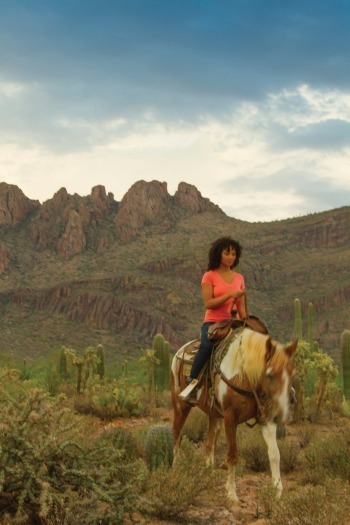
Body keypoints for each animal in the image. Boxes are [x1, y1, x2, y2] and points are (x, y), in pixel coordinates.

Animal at [171, 328, 296, 504]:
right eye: (270, 374)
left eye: (292, 373)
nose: (283, 411)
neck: (245, 375)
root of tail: (180, 351)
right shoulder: (231, 418)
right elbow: (232, 455)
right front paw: (231, 494)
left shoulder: (266, 418)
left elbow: (274, 454)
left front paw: (277, 493)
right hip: (180, 406)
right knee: (177, 434)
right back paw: (175, 468)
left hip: (214, 415)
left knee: (209, 443)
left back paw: (208, 475)